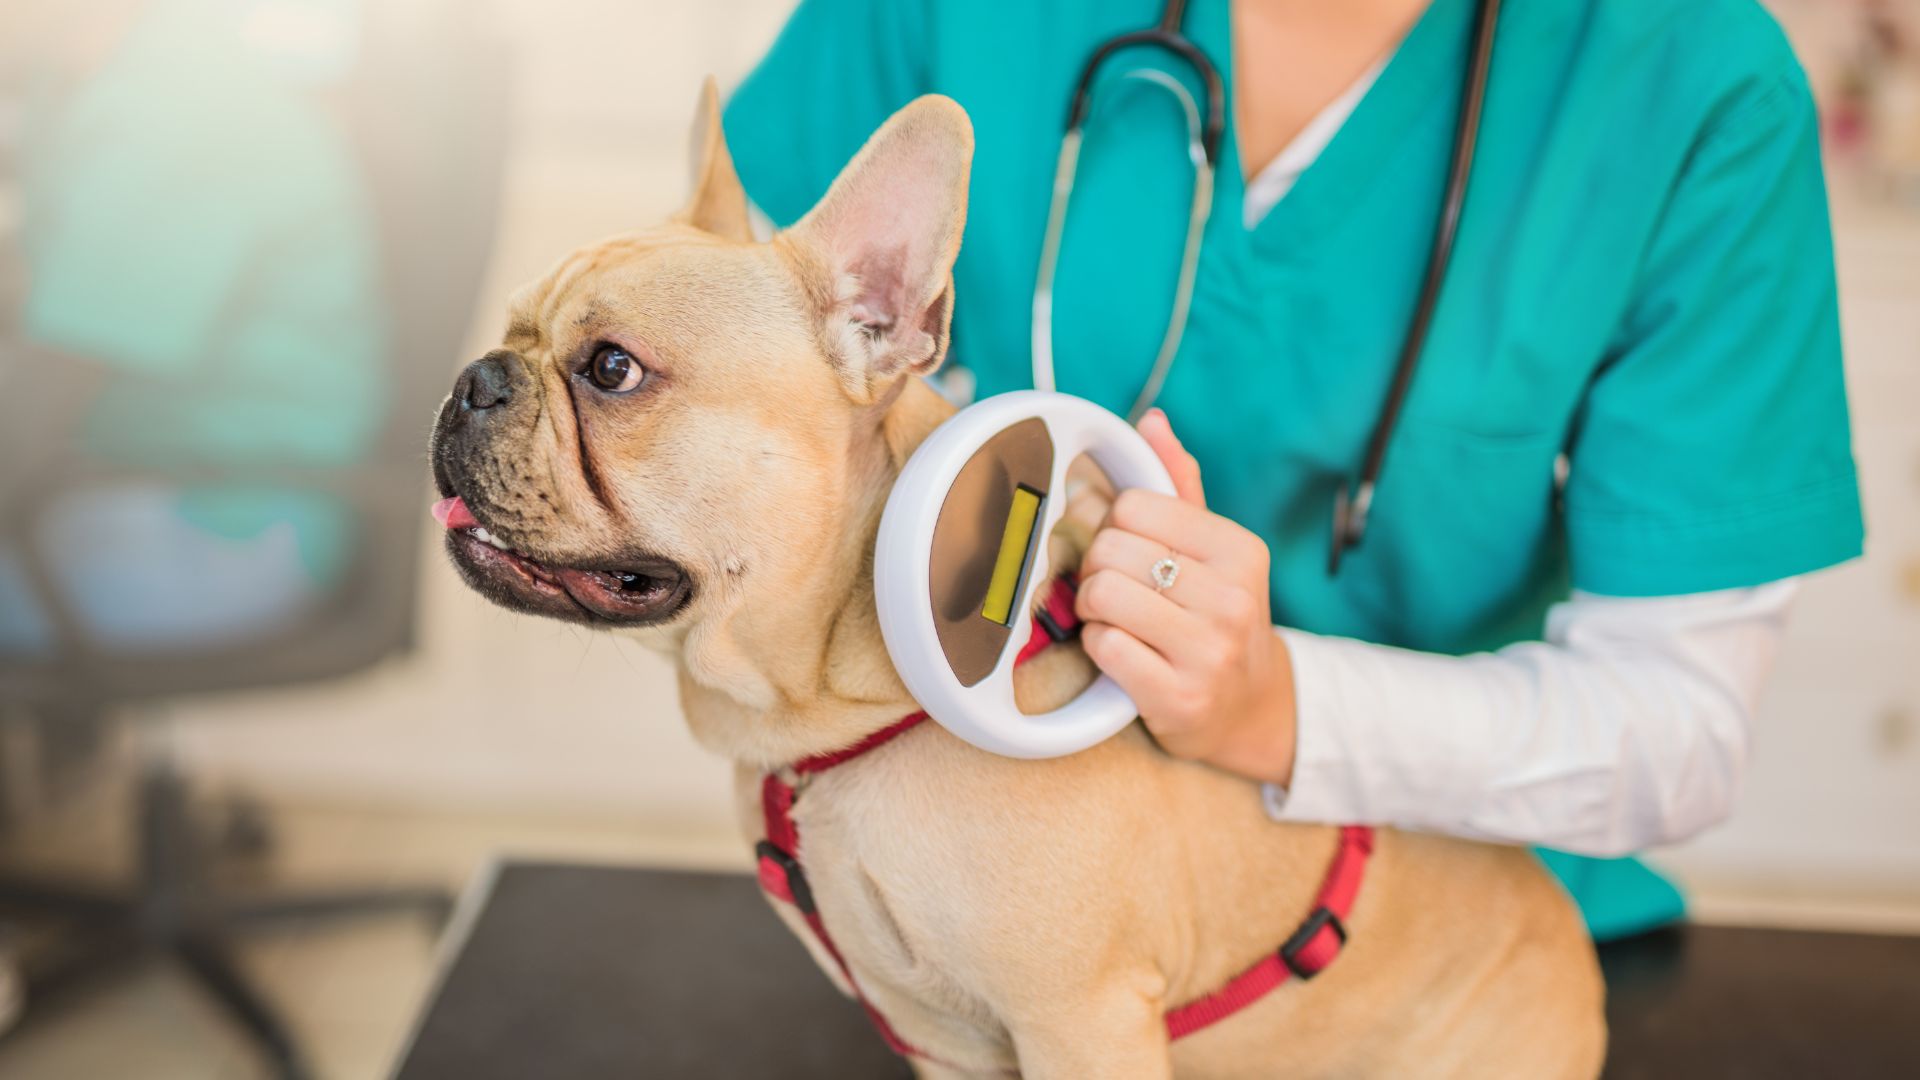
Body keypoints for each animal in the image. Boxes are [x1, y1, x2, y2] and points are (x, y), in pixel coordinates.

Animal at [432, 79, 1605, 1068]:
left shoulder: (1083, 1023)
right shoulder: (945, 1045)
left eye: (612, 370)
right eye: (510, 329)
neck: (834, 712)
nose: (473, 380)